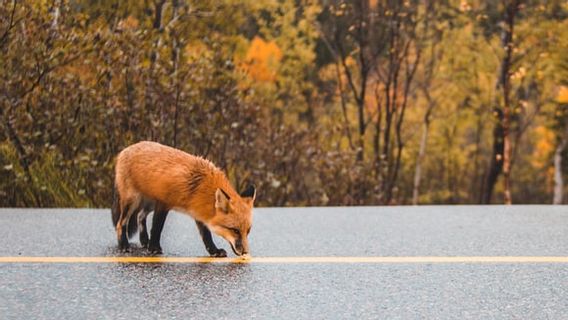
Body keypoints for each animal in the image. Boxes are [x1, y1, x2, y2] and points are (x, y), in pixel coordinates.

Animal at [111, 141, 255, 256]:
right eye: (235, 230)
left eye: (248, 231)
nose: (245, 252)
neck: (200, 186)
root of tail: (125, 150)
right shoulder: (163, 203)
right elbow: (157, 228)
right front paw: (154, 248)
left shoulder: (198, 212)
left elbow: (206, 236)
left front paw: (214, 251)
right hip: (132, 201)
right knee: (121, 223)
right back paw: (124, 246)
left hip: (149, 203)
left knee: (140, 216)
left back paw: (144, 241)